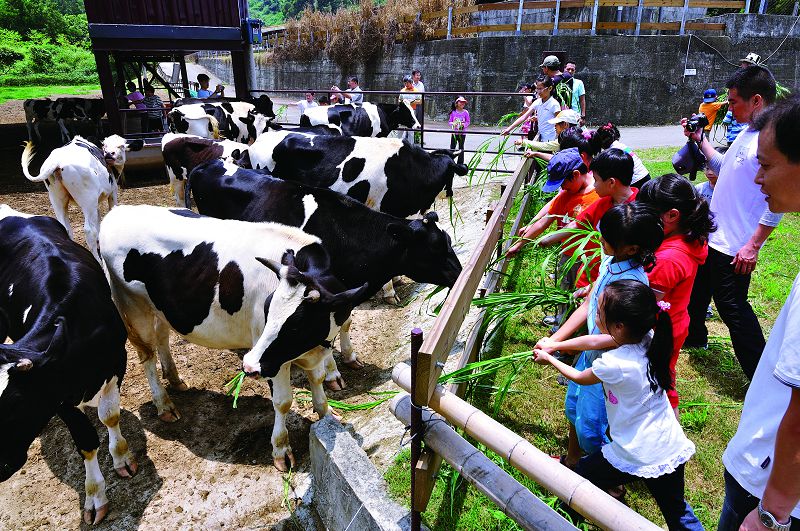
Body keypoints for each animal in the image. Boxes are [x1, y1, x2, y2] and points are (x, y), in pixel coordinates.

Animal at [0, 206, 136, 524]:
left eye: (15, 405)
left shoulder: (117, 365)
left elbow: (110, 416)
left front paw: (122, 457)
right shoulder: (56, 396)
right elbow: (85, 441)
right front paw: (95, 497)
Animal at [97, 206, 368, 472]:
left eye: (296, 325)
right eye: (267, 309)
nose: (248, 366)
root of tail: (117, 211)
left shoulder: (310, 351)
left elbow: (318, 380)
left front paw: (327, 416)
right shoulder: (272, 359)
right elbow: (283, 402)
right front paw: (281, 449)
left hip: (161, 308)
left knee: (162, 338)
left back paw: (174, 379)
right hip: (133, 307)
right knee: (147, 355)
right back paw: (163, 404)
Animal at [186, 158, 462, 386]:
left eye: (448, 240)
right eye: (434, 248)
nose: (460, 273)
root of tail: (207, 163)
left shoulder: (345, 290)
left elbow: (344, 321)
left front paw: (350, 357)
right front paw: (332, 374)